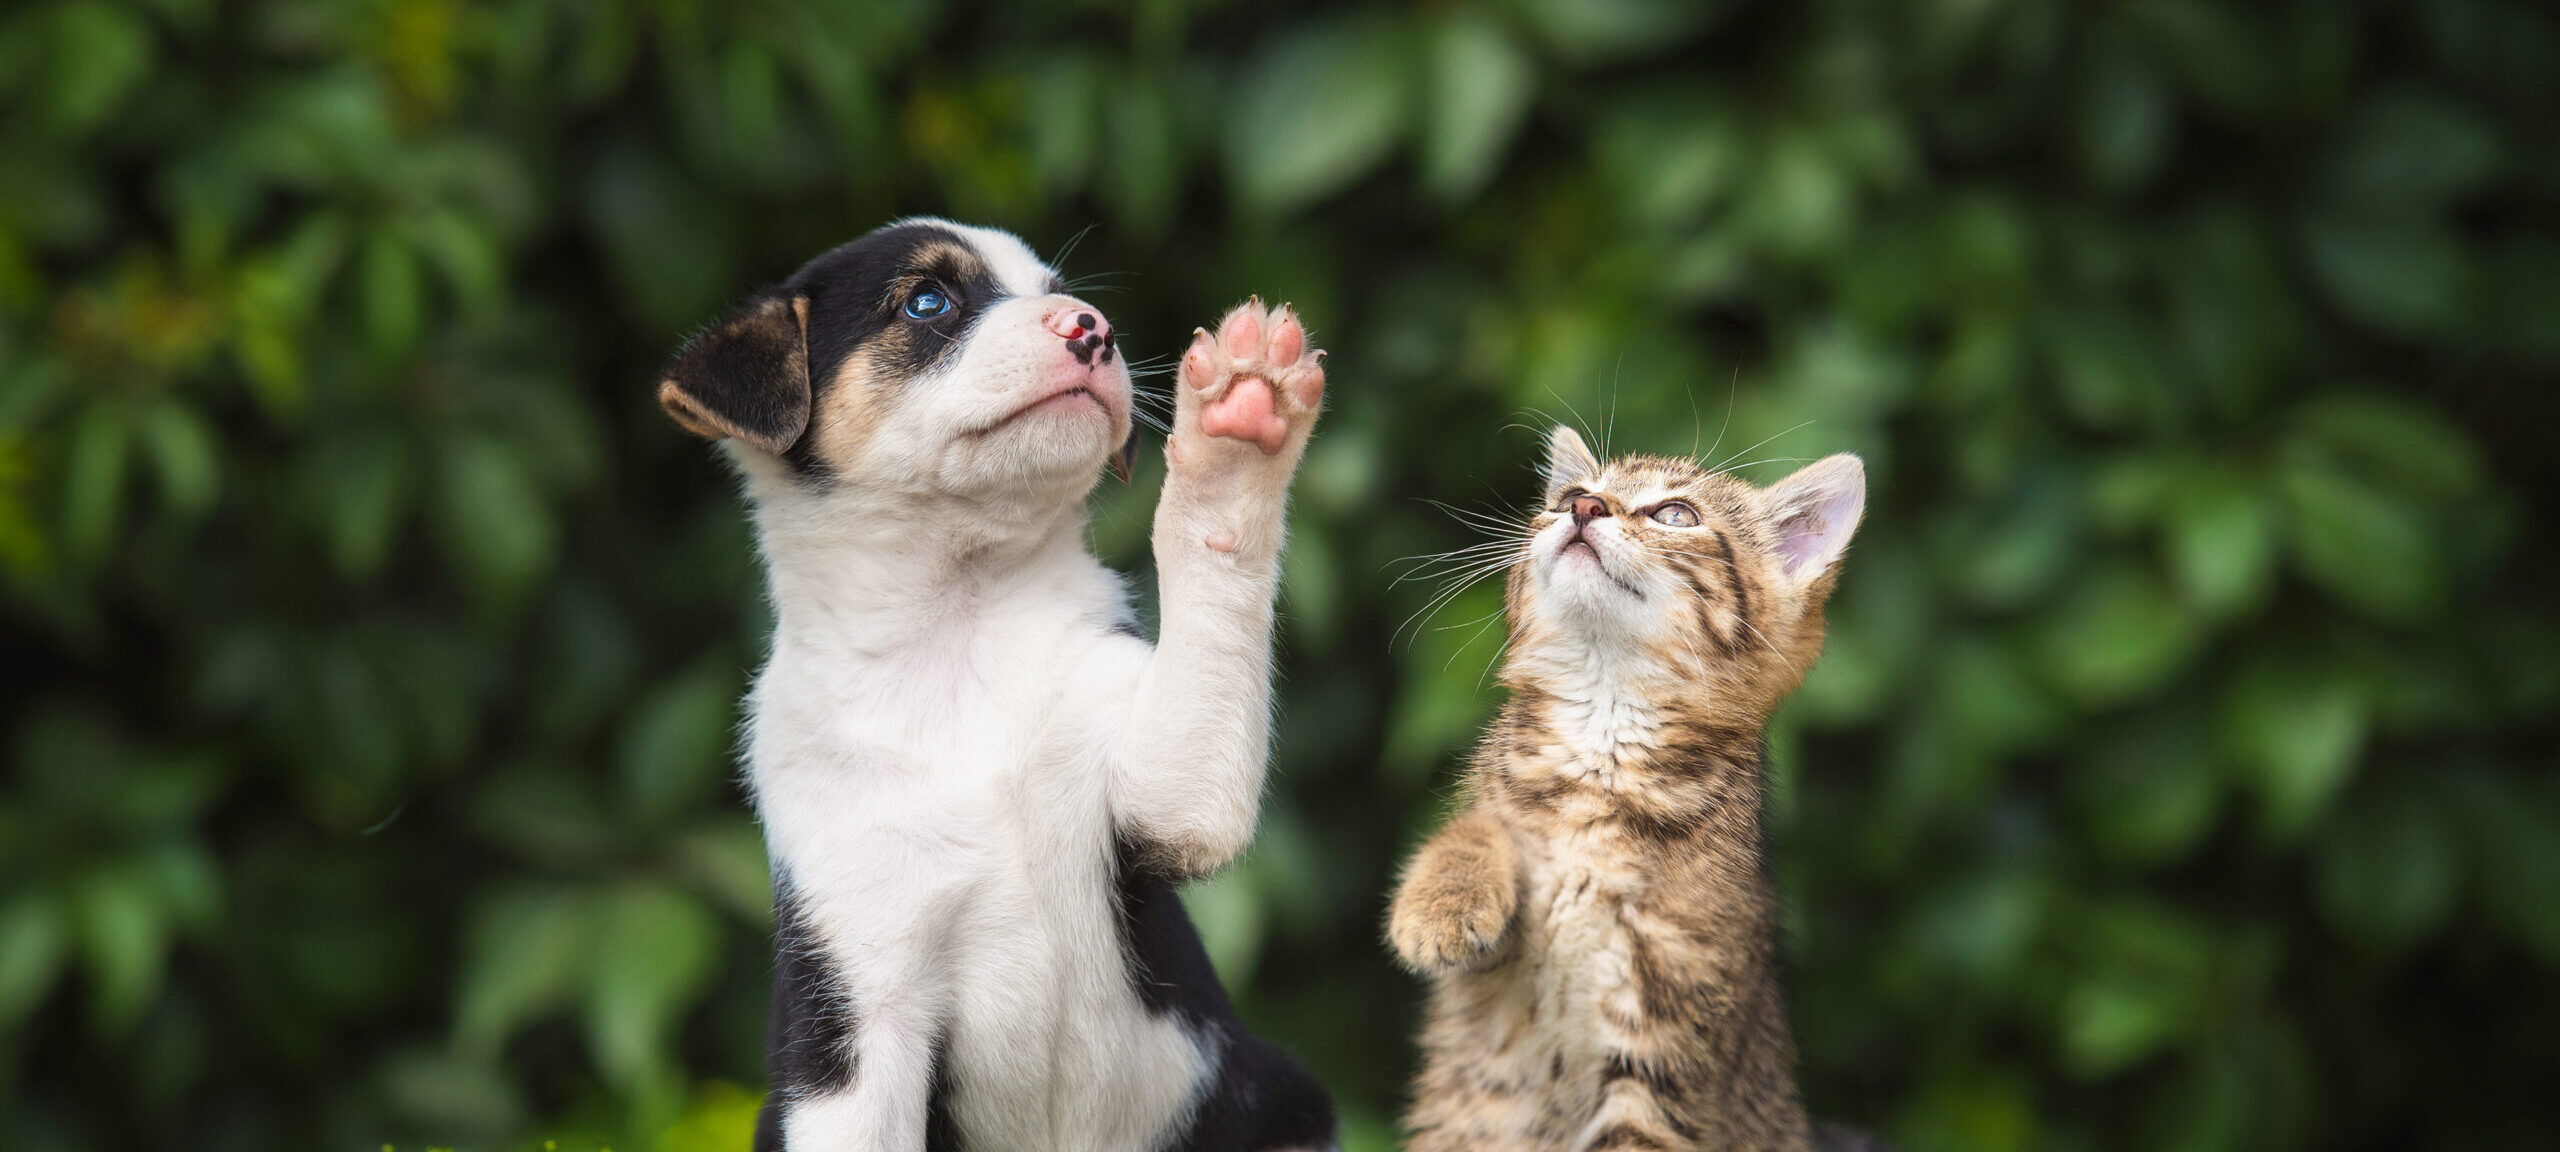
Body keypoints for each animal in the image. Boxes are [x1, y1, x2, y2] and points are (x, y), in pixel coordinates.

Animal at [660, 218, 1341, 1152]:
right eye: (928, 301)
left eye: (1058, 292)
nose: (1094, 328)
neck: (960, 623)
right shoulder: (857, 1023)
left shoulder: (1173, 799)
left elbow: (1216, 553)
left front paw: (1239, 427)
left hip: (1275, 1100)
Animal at [1382, 424, 1884, 1152]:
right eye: (1568, 494)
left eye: (1676, 514)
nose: (1583, 508)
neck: (1604, 735)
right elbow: (1478, 824)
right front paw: (1443, 902)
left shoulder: (1663, 1051)